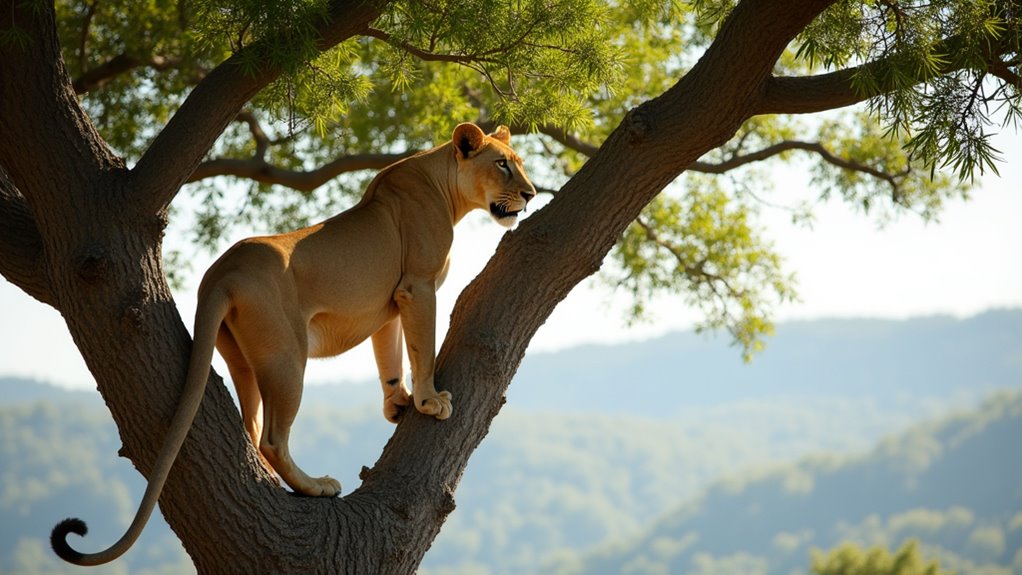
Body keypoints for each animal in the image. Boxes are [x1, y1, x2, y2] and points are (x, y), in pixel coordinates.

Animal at [51, 122, 537, 566]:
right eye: (503, 164)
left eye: (520, 164)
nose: (531, 194)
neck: (444, 183)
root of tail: (221, 272)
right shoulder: (417, 288)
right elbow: (421, 349)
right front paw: (430, 400)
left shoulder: (390, 303)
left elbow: (389, 354)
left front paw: (397, 402)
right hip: (287, 357)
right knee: (272, 438)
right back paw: (316, 486)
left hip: (241, 358)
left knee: (251, 428)